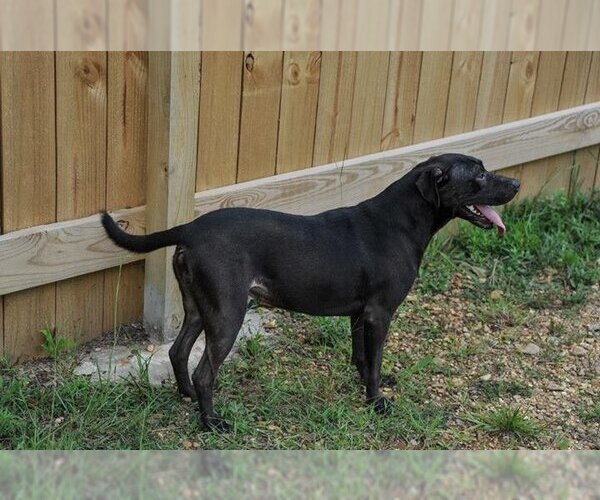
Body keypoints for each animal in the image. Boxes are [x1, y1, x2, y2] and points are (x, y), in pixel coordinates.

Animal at [101, 153, 516, 430]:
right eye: (479, 174)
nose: (516, 184)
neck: (400, 221)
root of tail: (189, 229)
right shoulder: (380, 313)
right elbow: (376, 359)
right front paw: (377, 402)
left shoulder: (359, 313)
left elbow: (362, 357)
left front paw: (368, 384)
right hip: (228, 313)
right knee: (205, 371)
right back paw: (211, 421)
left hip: (199, 308)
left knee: (178, 351)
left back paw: (187, 395)